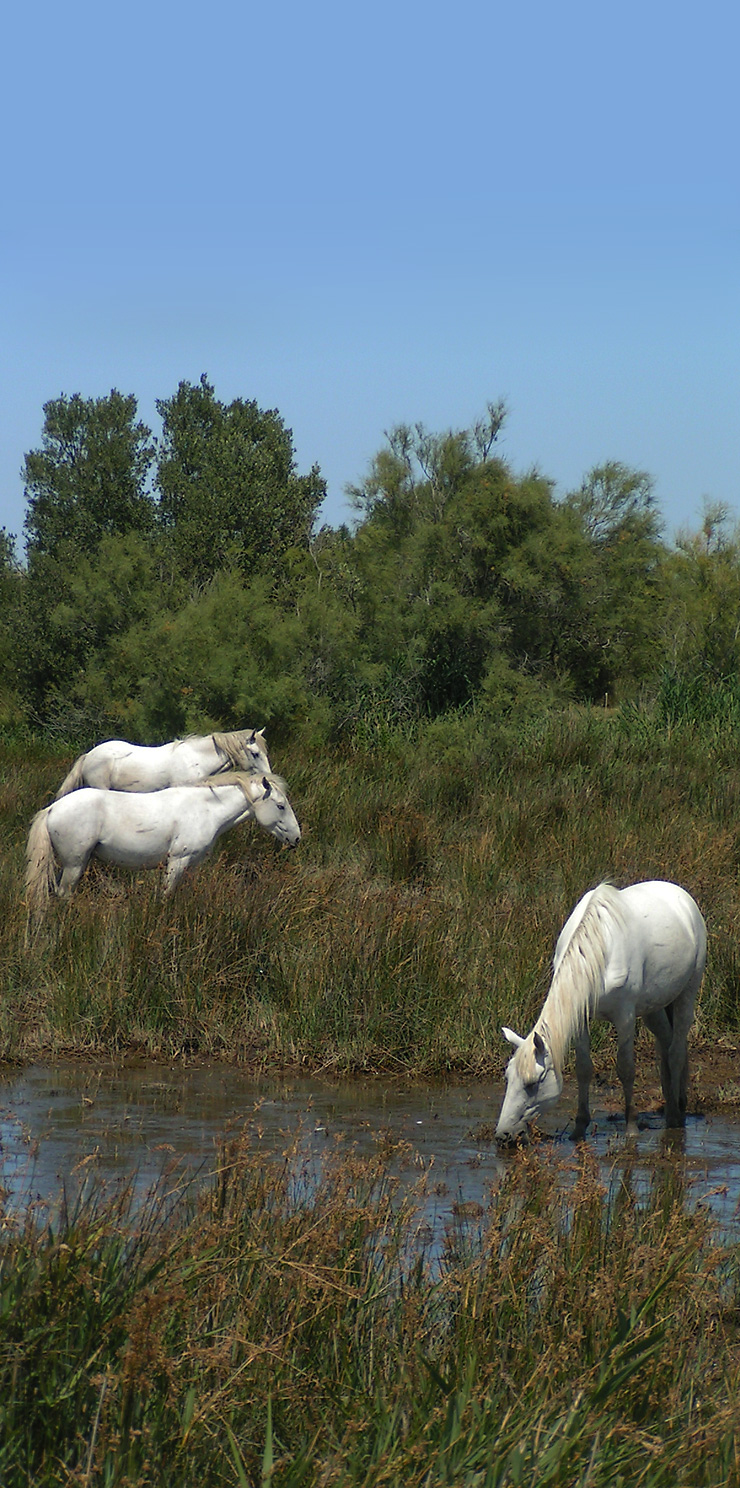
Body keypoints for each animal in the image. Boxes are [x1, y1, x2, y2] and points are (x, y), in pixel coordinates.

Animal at [26, 767, 297, 916]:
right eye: (280, 806)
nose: (296, 837)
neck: (205, 809)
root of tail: (52, 809)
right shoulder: (177, 861)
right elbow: (166, 896)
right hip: (75, 864)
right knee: (64, 893)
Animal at [494, 874, 705, 1142]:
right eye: (508, 1077)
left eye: (533, 1084)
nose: (504, 1134)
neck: (599, 952)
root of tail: (683, 898)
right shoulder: (581, 1018)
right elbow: (584, 1068)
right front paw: (579, 1128)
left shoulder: (625, 1017)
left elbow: (626, 1068)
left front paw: (631, 1127)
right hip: (654, 1008)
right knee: (666, 1046)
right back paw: (671, 1104)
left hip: (687, 993)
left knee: (676, 1051)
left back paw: (676, 1116)